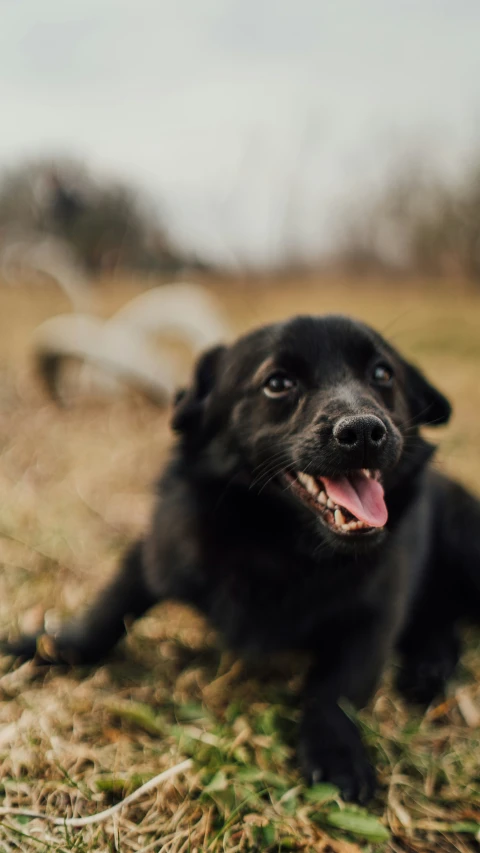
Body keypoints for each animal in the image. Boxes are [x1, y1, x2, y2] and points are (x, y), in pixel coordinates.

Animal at [4, 316, 480, 804]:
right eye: (278, 383)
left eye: (383, 374)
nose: (365, 431)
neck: (281, 544)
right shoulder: (158, 551)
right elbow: (108, 610)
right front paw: (49, 647)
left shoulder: (374, 616)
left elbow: (335, 691)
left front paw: (336, 752)